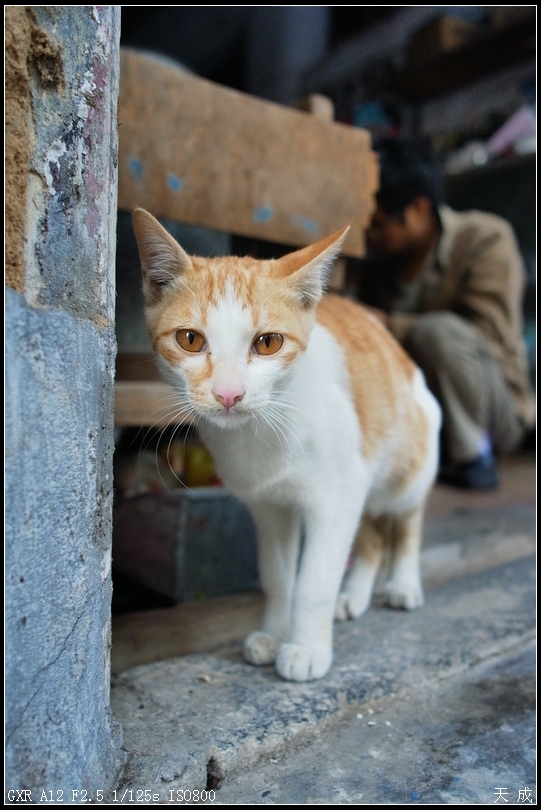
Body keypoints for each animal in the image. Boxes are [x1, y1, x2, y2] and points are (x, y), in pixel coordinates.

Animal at [133, 208, 440, 680]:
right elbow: (278, 576)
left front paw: (306, 648)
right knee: (371, 538)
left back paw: (403, 584)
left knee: (406, 520)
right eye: (190, 339)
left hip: (407, 464)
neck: (260, 432)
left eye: (268, 343)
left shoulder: (340, 493)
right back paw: (354, 596)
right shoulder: (269, 507)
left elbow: (316, 578)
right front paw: (275, 632)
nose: (229, 394)